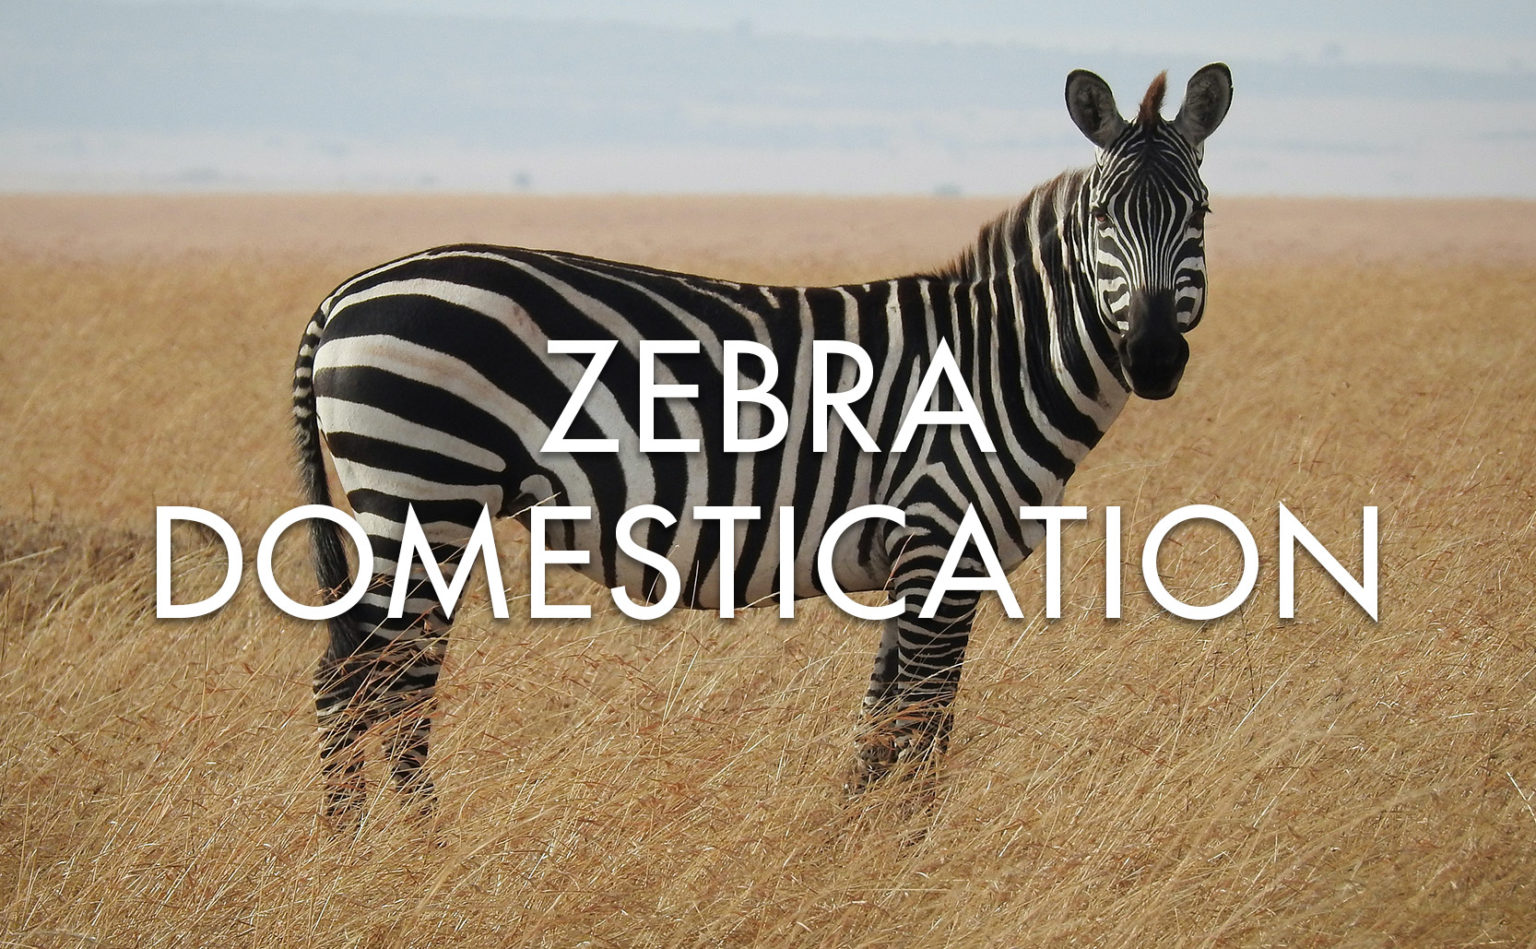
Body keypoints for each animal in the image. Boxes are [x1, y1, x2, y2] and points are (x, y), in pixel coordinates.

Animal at [292, 64, 1233, 821]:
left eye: (1202, 213)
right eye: (1105, 216)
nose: (1154, 358)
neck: (998, 362)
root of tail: (346, 292)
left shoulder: (910, 561)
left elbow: (877, 726)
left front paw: (848, 851)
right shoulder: (942, 543)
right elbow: (926, 722)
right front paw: (915, 855)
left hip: (420, 502)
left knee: (373, 677)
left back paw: (373, 844)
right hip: (427, 488)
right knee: (369, 682)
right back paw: (394, 852)